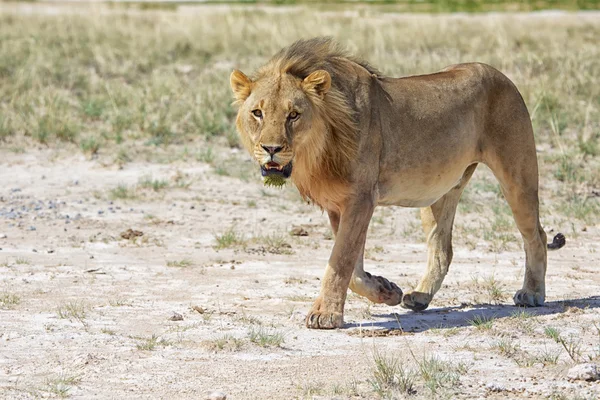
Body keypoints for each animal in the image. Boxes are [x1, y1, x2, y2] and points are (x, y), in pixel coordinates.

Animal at [227, 37, 564, 330]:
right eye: (257, 113)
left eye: (294, 115)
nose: (271, 148)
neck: (319, 150)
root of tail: (500, 74)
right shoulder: (339, 205)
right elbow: (352, 268)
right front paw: (386, 290)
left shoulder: (361, 198)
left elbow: (341, 261)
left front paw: (326, 315)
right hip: (438, 192)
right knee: (443, 247)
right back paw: (419, 297)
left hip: (517, 175)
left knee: (535, 235)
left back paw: (532, 293)